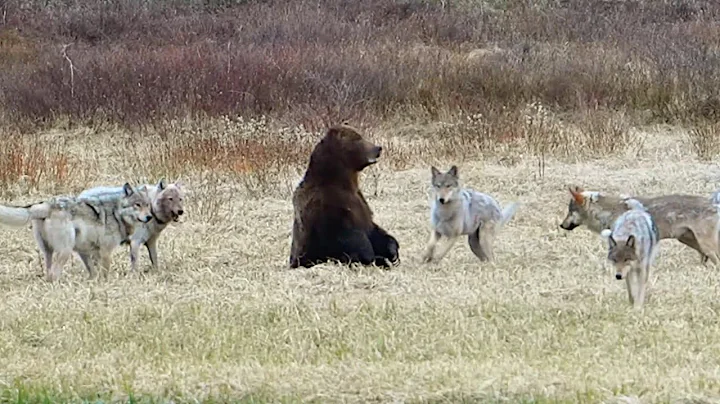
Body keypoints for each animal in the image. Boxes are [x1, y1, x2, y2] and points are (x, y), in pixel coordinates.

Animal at [0, 183, 152, 281]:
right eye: (137, 205)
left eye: (147, 205)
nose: (149, 217)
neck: (116, 213)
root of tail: (48, 204)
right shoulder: (105, 252)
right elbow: (104, 275)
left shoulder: (84, 251)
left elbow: (93, 272)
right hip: (65, 251)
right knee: (54, 275)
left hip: (48, 252)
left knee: (49, 274)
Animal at [288, 124, 400, 269]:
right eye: (358, 139)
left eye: (361, 136)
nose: (378, 148)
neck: (342, 181)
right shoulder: (326, 204)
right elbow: (345, 235)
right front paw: (373, 256)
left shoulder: (359, 201)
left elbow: (372, 228)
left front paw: (393, 250)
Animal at [560, 186, 720, 265]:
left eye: (570, 211)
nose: (561, 225)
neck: (610, 212)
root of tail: (713, 203)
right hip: (691, 242)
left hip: (705, 245)